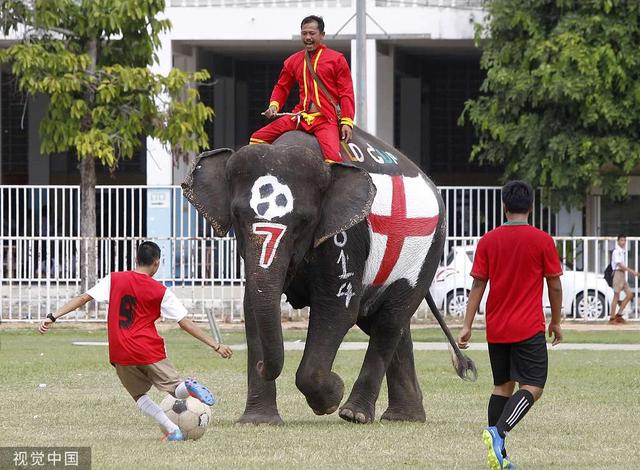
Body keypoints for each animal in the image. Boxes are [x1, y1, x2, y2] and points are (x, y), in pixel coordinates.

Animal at [182, 126, 448, 426]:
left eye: (305, 222)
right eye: (237, 216)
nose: (261, 365)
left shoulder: (345, 237)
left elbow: (337, 308)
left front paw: (332, 396)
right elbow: (252, 306)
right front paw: (258, 421)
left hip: (427, 252)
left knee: (390, 320)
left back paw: (354, 414)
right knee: (386, 321)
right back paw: (404, 417)